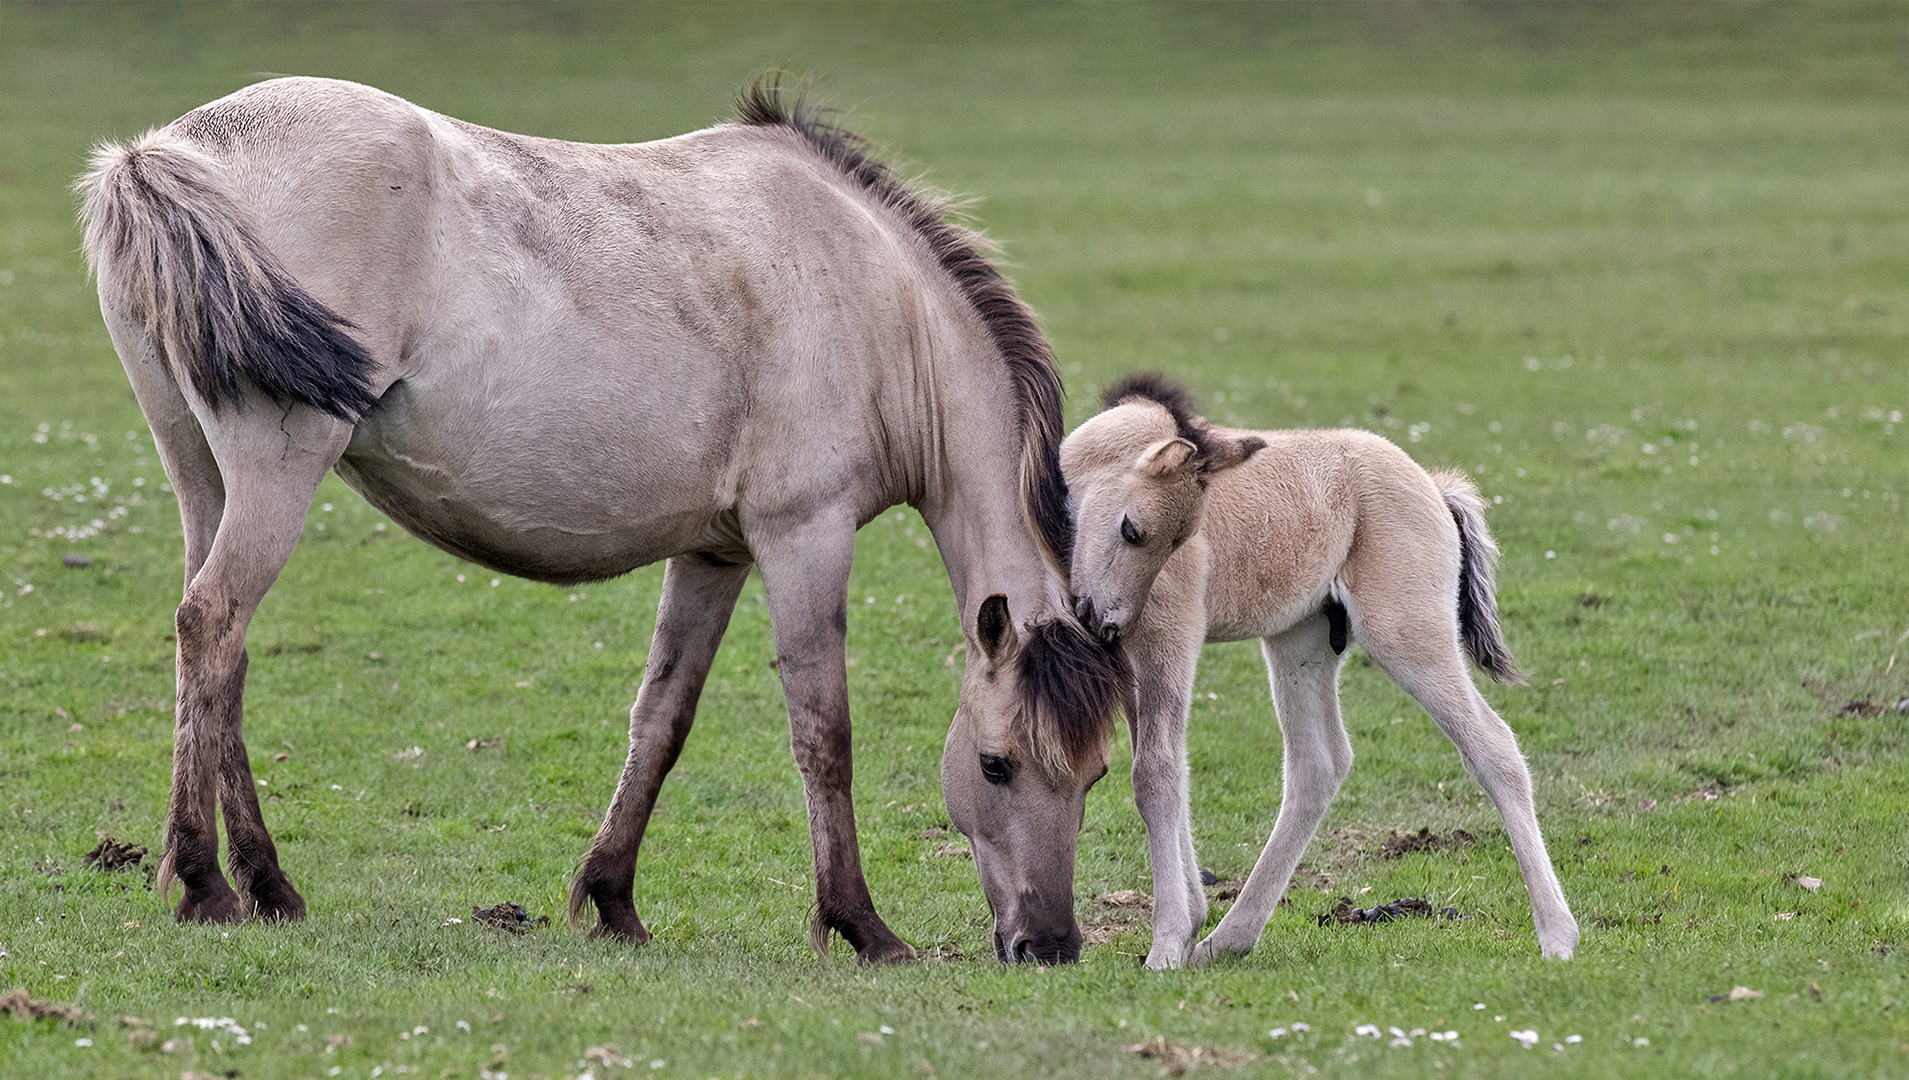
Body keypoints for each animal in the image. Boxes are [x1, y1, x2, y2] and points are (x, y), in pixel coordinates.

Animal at [82, 80, 1122, 969]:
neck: (872, 293)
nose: (1048, 946)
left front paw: (614, 899)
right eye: (994, 766)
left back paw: (267, 884)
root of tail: (169, 150)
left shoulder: (712, 553)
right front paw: (859, 925)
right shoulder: (804, 536)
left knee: (218, 654)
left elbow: (660, 719)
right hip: (277, 473)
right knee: (213, 624)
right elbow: (823, 732)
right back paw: (209, 883)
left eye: (1096, 776)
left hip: (202, 481)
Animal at [1061, 373, 1580, 973]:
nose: (1103, 620)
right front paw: (1189, 927)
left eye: (1152, 535)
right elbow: (1169, 764)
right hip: (1300, 642)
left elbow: (1156, 771)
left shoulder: (1168, 636)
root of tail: (1432, 485)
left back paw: (1558, 935)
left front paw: (1168, 943)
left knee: (1492, 746)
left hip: (1405, 634)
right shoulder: (1132, 660)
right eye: (1131, 530)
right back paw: (1227, 938)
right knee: (1319, 762)